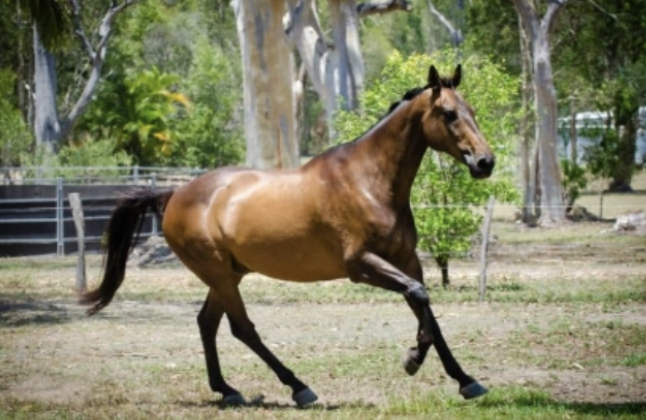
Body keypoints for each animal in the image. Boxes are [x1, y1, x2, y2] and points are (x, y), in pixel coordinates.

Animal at [80, 64, 495, 407]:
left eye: (473, 110)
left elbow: (427, 311)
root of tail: (175, 195)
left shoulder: (406, 261)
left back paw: (228, 391)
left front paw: (466, 380)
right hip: (219, 274)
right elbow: (420, 297)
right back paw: (299, 388)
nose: (485, 162)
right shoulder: (361, 265)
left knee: (207, 323)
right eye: (449, 114)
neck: (368, 182)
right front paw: (412, 359)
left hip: (227, 275)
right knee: (242, 328)